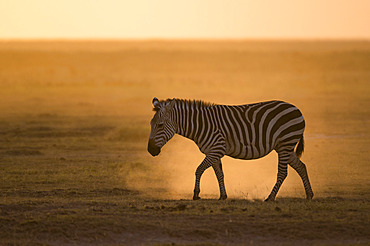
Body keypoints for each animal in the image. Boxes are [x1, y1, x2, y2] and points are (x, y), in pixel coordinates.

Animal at [146, 97, 314, 201]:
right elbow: (219, 174)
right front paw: (223, 196)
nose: (150, 151)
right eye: (151, 124)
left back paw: (270, 197)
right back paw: (309, 195)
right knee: (301, 166)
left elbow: (198, 170)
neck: (201, 125)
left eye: (160, 125)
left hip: (286, 144)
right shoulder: (213, 151)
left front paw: (196, 194)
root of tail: (296, 108)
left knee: (283, 173)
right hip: (284, 146)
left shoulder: (216, 149)